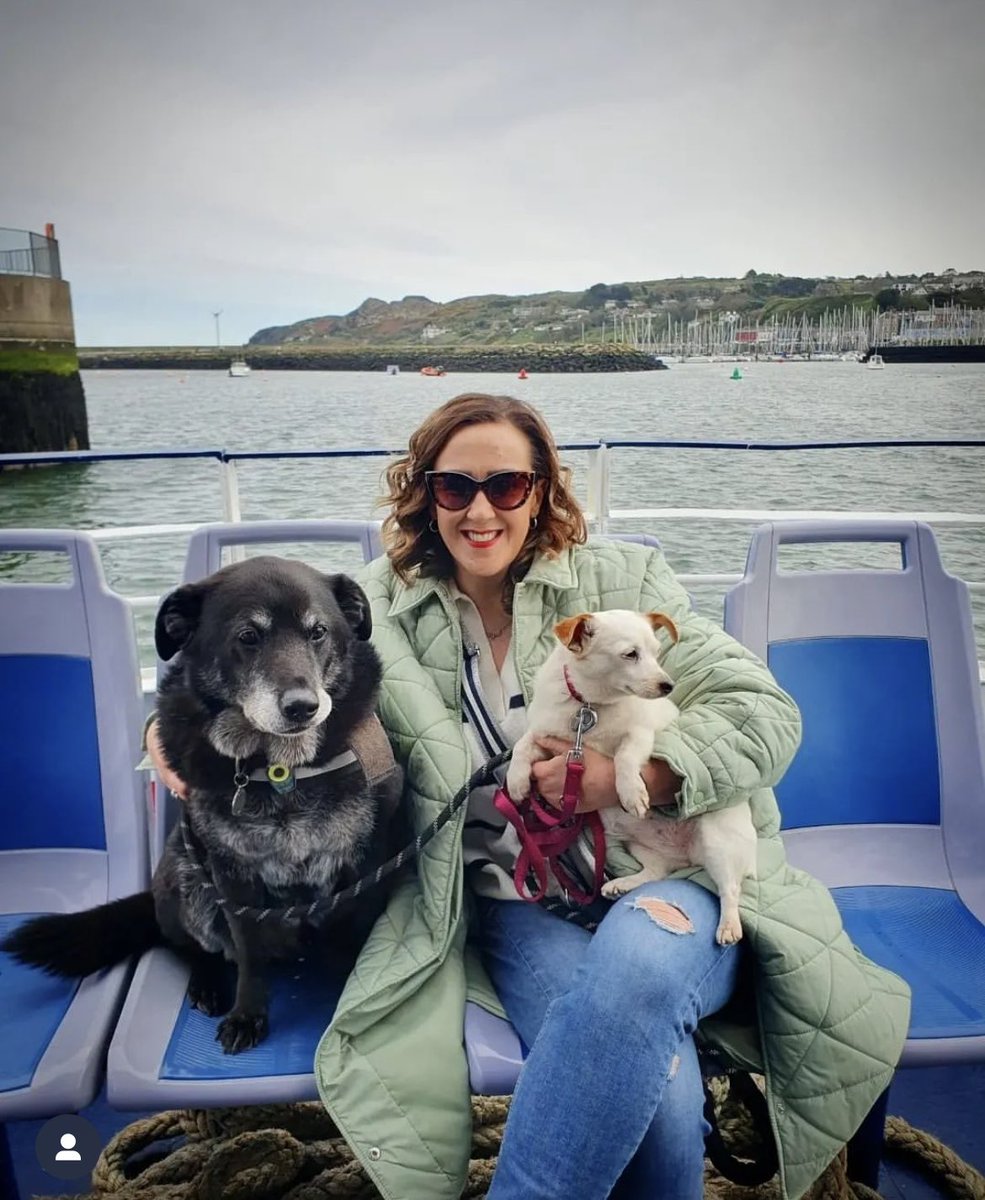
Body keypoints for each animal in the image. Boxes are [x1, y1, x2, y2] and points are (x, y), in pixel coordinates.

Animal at [3, 556, 403, 1056]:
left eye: (318, 632)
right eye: (248, 636)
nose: (303, 707)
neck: (279, 770)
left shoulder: (367, 867)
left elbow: (353, 943)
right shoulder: (233, 877)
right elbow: (248, 956)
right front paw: (247, 1015)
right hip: (186, 877)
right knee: (191, 947)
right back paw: (208, 983)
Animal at [506, 614, 753, 940]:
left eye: (657, 652)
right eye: (630, 654)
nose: (668, 685)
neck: (588, 707)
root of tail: (687, 856)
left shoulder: (639, 735)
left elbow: (624, 757)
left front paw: (631, 792)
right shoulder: (546, 739)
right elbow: (522, 745)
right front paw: (516, 780)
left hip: (717, 842)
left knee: (730, 889)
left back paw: (728, 925)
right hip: (638, 845)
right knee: (656, 872)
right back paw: (622, 884)